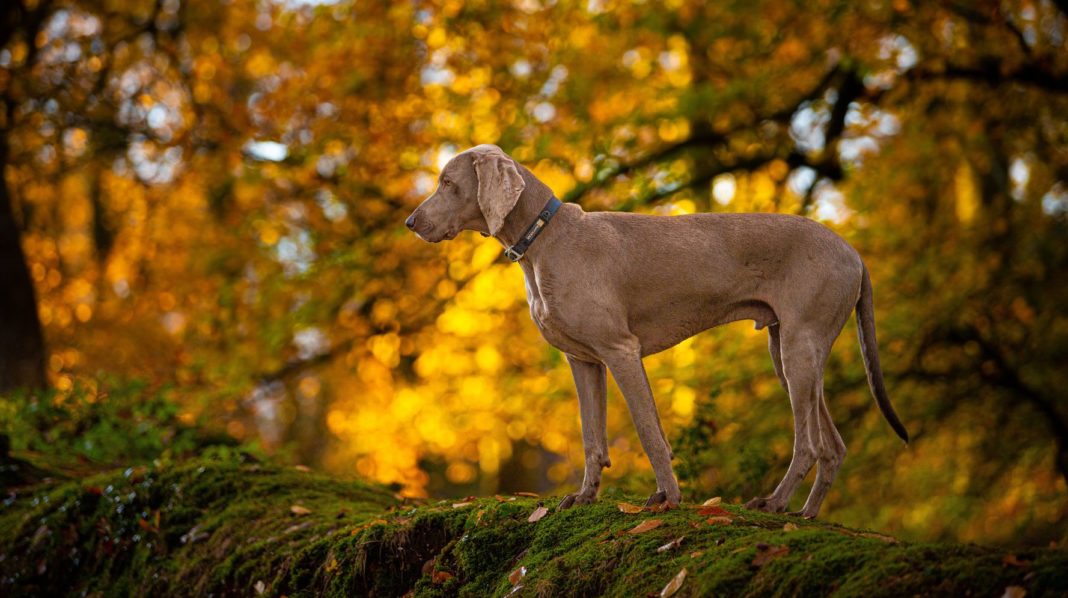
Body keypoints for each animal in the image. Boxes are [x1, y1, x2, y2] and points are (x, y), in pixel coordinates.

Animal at [403, 145, 905, 518]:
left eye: (447, 183)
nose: (410, 222)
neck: (545, 237)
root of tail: (853, 253)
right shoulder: (583, 361)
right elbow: (591, 437)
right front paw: (585, 496)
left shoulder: (621, 351)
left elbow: (648, 430)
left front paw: (668, 497)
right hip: (789, 352)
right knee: (832, 447)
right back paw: (806, 513)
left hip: (799, 349)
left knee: (809, 444)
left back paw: (774, 502)